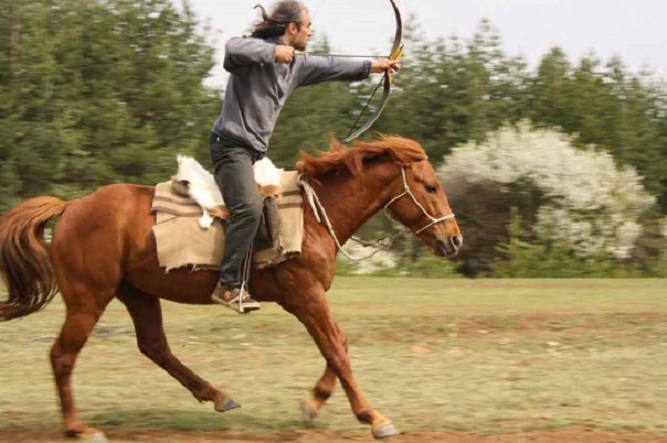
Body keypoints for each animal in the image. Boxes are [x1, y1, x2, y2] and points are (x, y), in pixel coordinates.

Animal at [0, 135, 462, 440]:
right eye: (430, 186)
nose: (454, 240)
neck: (314, 215)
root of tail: (71, 207)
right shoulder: (305, 296)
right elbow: (335, 347)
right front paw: (374, 417)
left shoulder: (309, 299)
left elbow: (339, 345)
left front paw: (313, 404)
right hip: (88, 298)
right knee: (63, 356)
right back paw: (78, 427)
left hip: (137, 292)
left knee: (154, 346)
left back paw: (217, 395)